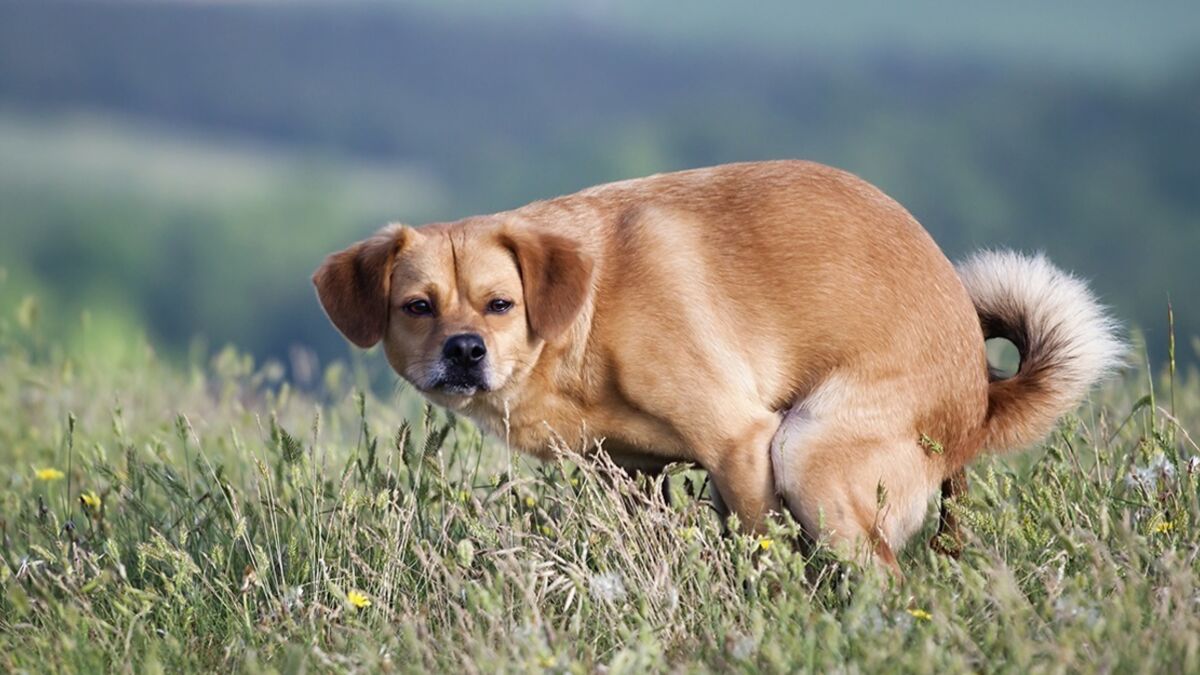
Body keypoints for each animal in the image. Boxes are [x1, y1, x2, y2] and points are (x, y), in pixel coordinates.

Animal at [312, 159, 1123, 564]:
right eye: (418, 306)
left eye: (499, 304)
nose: (465, 349)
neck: (584, 316)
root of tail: (981, 399)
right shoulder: (627, 473)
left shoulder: (740, 442)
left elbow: (763, 544)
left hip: (807, 451)